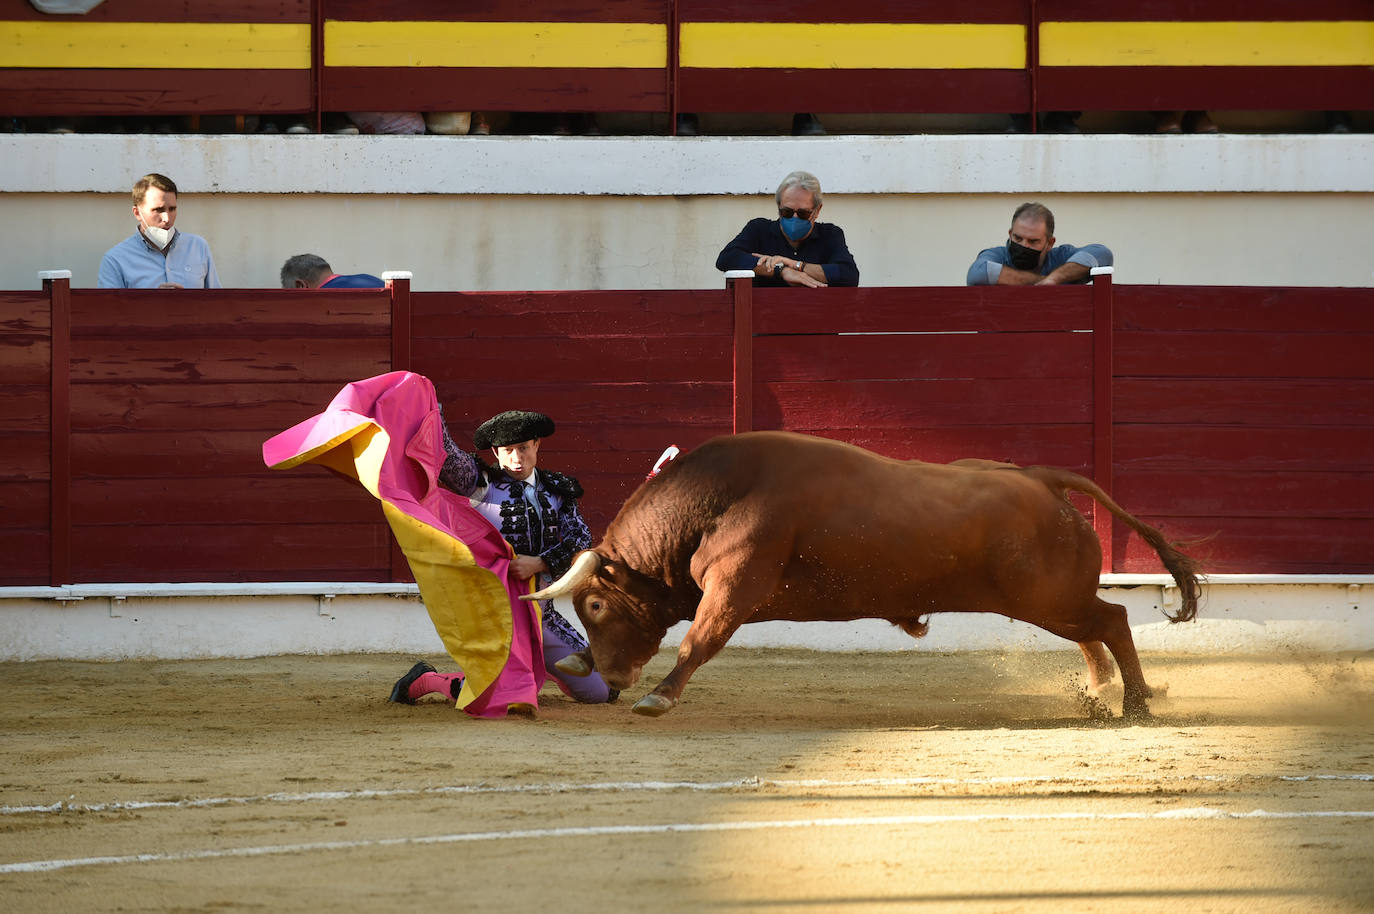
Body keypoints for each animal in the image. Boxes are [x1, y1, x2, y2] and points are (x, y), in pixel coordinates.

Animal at [524, 428, 1203, 720]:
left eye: (595, 606)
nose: (611, 681)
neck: (712, 497)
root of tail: (1041, 478)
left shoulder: (735, 586)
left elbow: (699, 641)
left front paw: (659, 697)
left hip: (1047, 596)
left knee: (1113, 619)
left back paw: (1135, 703)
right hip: (1048, 598)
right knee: (1095, 630)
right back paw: (1103, 690)